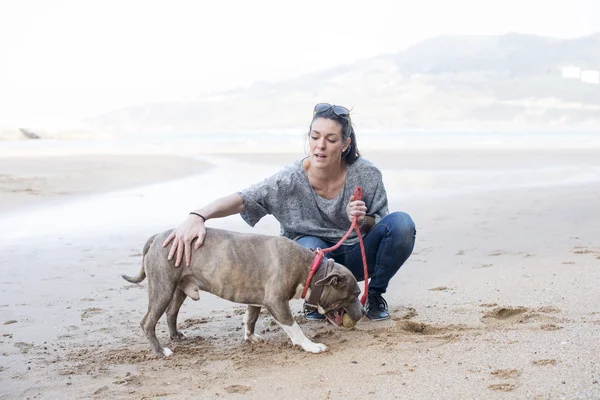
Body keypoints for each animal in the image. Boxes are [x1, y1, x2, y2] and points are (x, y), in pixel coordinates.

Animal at [123, 228, 364, 356]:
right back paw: (160, 351)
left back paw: (176, 336)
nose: (363, 312)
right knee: (148, 322)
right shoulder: (276, 302)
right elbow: (294, 328)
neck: (311, 269)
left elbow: (250, 319)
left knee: (171, 312)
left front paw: (250, 337)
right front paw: (311, 346)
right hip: (162, 288)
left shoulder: (257, 300)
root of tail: (158, 236)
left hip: (178, 288)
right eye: (353, 295)